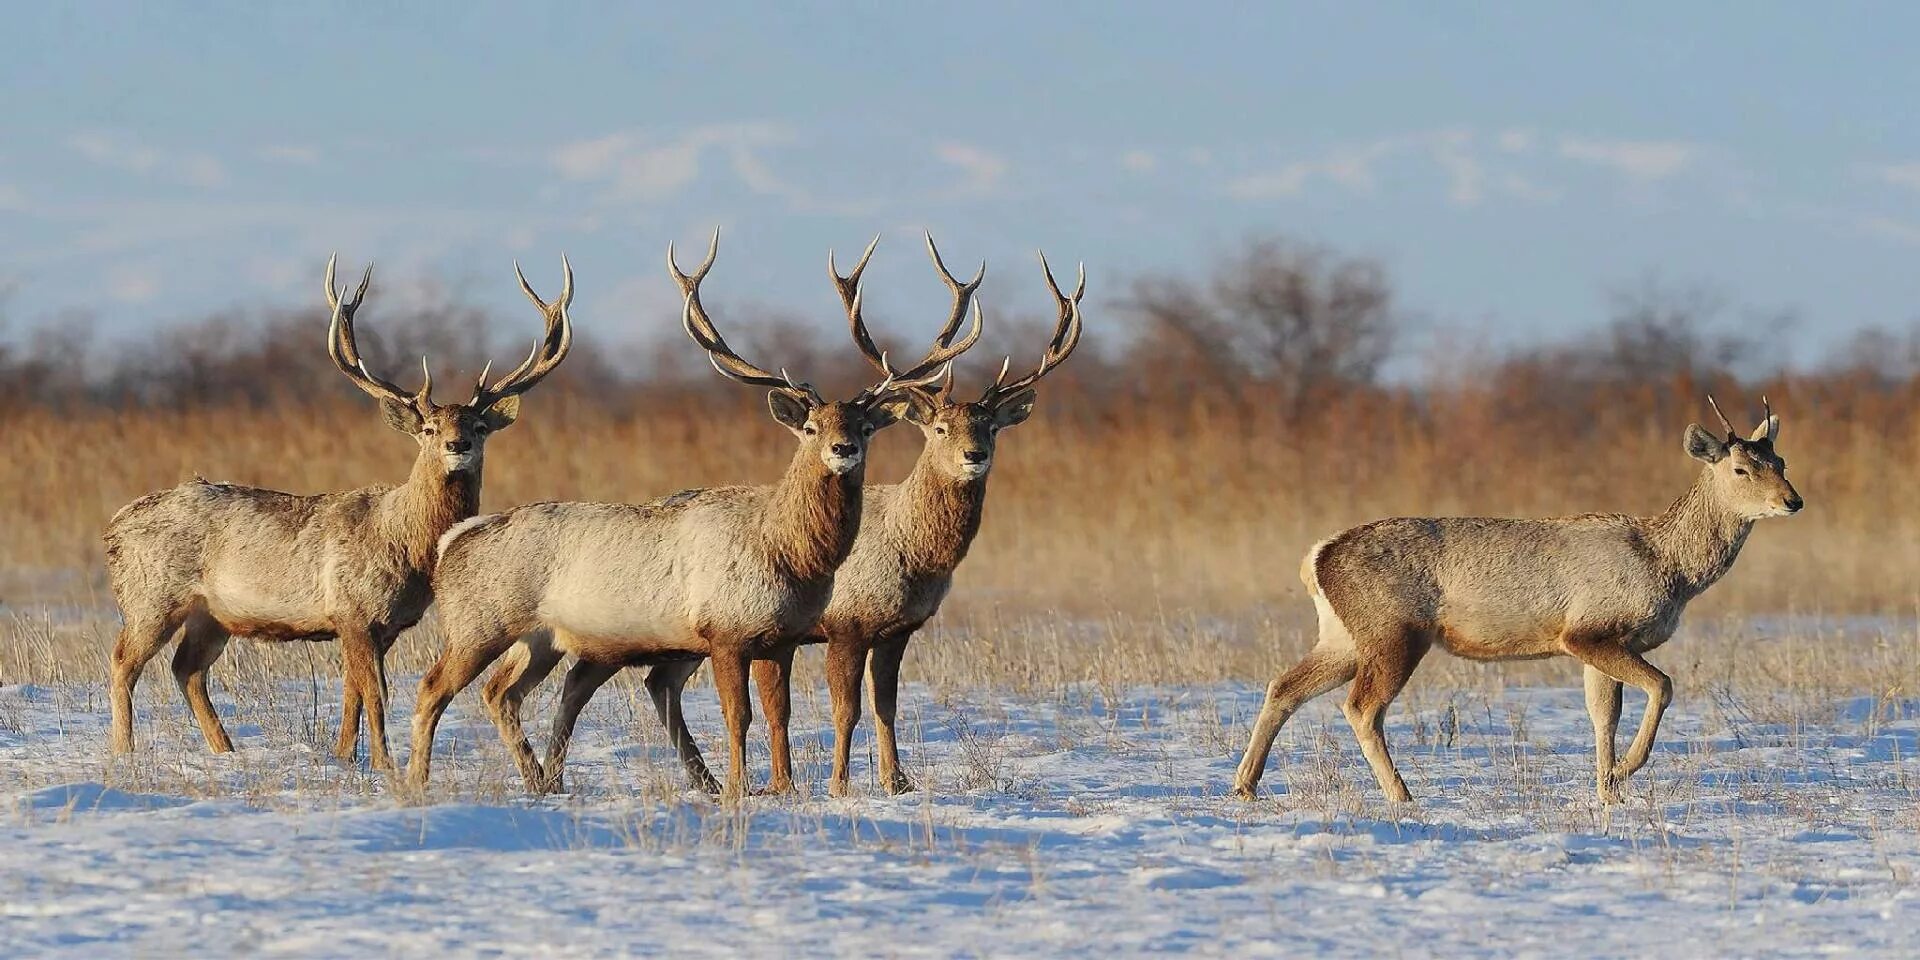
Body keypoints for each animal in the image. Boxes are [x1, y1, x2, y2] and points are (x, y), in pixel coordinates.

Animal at [104, 251, 572, 768]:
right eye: (428, 428)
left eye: (480, 426)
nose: (457, 444)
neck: (404, 543)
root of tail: (115, 526)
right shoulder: (352, 609)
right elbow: (375, 693)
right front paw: (382, 763)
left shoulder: (382, 626)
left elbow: (353, 692)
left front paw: (345, 755)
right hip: (150, 595)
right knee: (123, 661)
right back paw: (123, 752)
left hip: (212, 613)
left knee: (186, 669)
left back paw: (225, 750)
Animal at [1228, 395, 1797, 802]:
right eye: (1741, 469)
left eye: (1781, 460)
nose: (1793, 500)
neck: (1671, 568)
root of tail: (1315, 558)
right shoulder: (1587, 631)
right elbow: (1663, 685)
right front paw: (1625, 771)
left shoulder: (1602, 644)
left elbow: (1602, 714)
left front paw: (1607, 789)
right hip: (1394, 630)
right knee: (1362, 706)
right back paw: (1402, 795)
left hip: (1344, 636)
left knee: (1285, 685)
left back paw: (1245, 785)